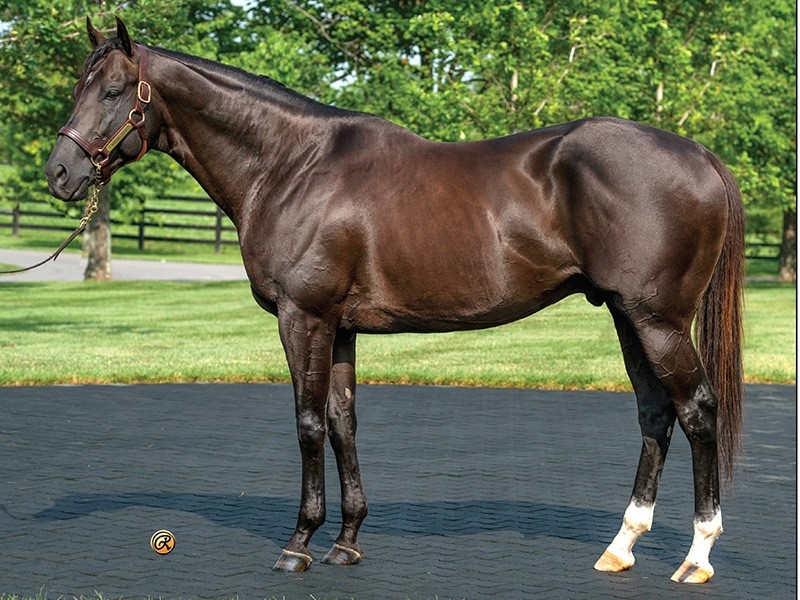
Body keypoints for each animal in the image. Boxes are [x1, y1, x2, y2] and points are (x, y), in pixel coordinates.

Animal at [45, 18, 744, 583]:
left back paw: (697, 557)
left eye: (113, 92)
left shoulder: (303, 318)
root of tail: (700, 156)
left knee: (697, 412)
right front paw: (347, 541)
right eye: (80, 86)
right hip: (629, 317)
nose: (59, 173)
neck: (291, 165)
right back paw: (621, 546)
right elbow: (342, 421)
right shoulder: (339, 327)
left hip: (658, 322)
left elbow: (306, 424)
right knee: (655, 414)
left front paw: (298, 544)